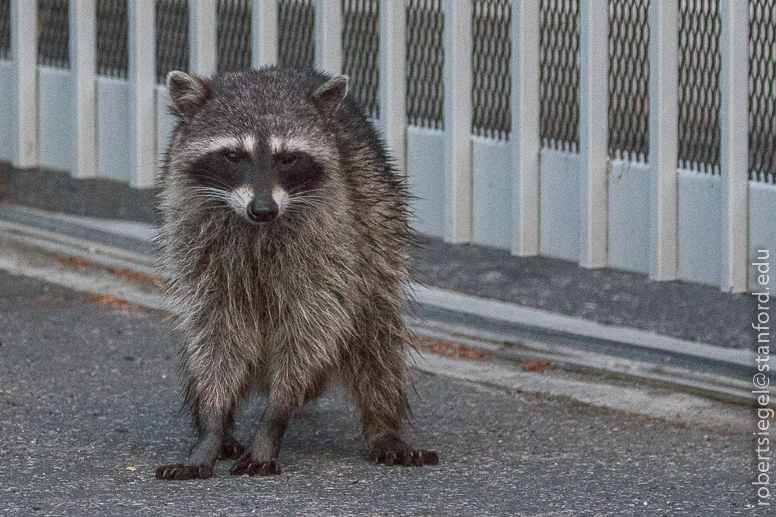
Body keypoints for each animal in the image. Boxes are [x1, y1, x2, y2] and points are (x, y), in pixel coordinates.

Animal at [155, 65, 440, 480]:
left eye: (287, 158)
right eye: (232, 155)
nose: (263, 210)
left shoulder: (332, 243)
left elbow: (310, 330)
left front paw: (274, 418)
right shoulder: (199, 249)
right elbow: (216, 334)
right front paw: (212, 422)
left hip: (377, 235)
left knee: (376, 337)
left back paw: (383, 424)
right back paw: (222, 428)